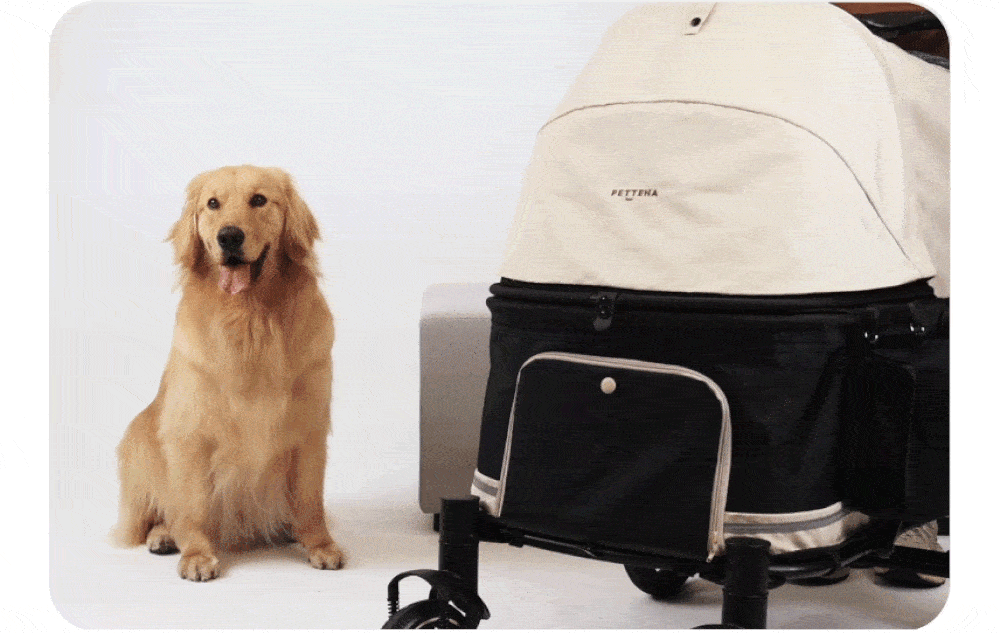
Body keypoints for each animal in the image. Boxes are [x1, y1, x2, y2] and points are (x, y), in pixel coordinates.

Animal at [113, 165, 343, 581]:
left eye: (259, 200)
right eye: (212, 204)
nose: (230, 236)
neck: (251, 320)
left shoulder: (310, 428)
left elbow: (309, 501)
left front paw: (320, 545)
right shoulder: (190, 431)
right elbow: (191, 505)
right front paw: (197, 555)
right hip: (139, 439)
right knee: (160, 512)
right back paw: (164, 536)